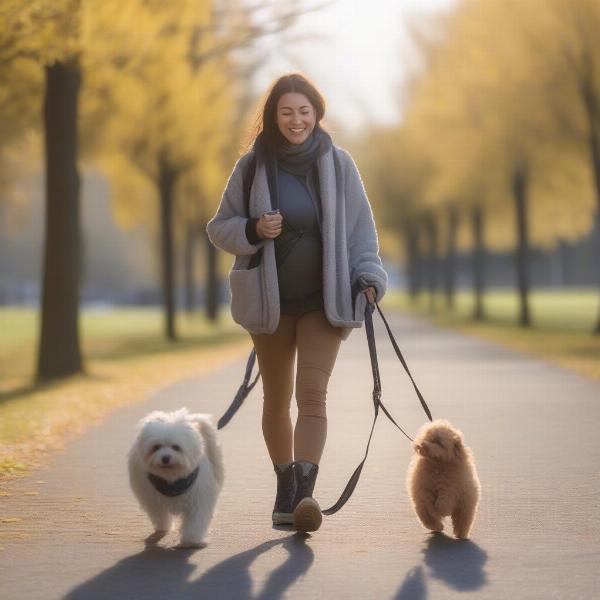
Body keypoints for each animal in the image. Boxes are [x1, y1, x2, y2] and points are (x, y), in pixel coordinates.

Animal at [127, 408, 224, 548]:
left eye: (176, 447)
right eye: (156, 447)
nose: (165, 458)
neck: (172, 479)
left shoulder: (197, 499)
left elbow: (195, 521)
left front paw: (191, 539)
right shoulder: (153, 500)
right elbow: (160, 515)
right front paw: (163, 528)